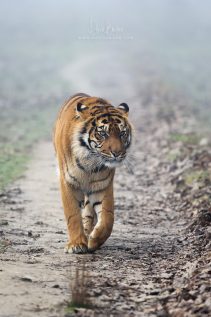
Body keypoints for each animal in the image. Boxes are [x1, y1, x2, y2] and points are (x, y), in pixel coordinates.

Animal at [52, 92, 132, 253]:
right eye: (103, 133)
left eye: (122, 133)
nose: (117, 153)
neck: (89, 161)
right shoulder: (68, 182)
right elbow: (73, 215)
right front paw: (76, 244)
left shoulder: (102, 185)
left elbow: (108, 218)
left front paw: (94, 240)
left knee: (89, 212)